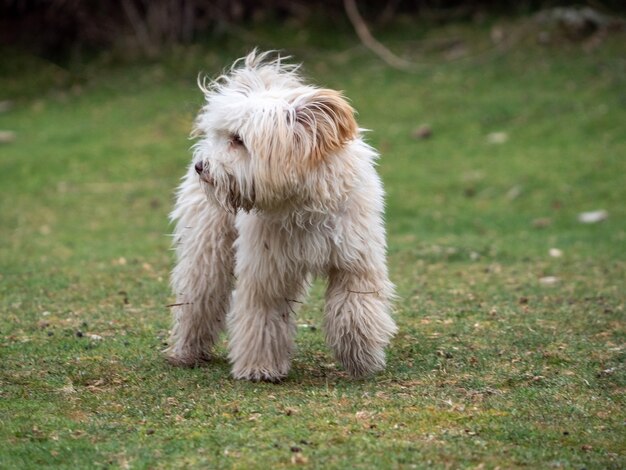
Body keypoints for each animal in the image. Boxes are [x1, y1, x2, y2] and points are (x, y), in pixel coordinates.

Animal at [163, 51, 392, 382]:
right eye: (221, 136)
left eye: (237, 139)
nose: (201, 167)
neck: (302, 202)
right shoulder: (267, 269)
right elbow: (263, 316)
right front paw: (260, 367)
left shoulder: (354, 261)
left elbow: (355, 306)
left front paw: (361, 356)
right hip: (207, 249)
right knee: (198, 298)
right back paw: (186, 351)